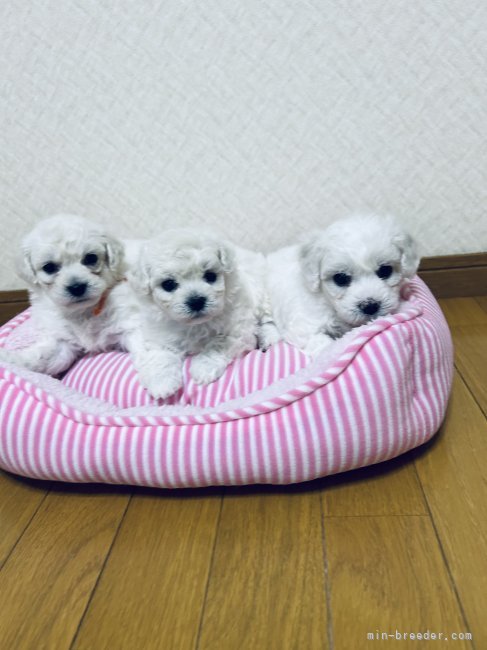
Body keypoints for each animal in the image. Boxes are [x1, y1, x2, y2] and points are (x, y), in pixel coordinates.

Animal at [0, 215, 135, 374]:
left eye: (91, 258)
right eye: (49, 267)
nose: (77, 287)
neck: (83, 311)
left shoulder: (127, 322)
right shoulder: (61, 341)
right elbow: (41, 359)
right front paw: (9, 359)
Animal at [127, 228, 279, 399]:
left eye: (210, 275)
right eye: (168, 284)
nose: (196, 301)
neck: (195, 325)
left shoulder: (240, 330)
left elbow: (219, 343)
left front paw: (203, 368)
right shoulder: (159, 335)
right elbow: (160, 355)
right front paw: (161, 383)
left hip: (263, 294)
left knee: (268, 320)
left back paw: (268, 338)